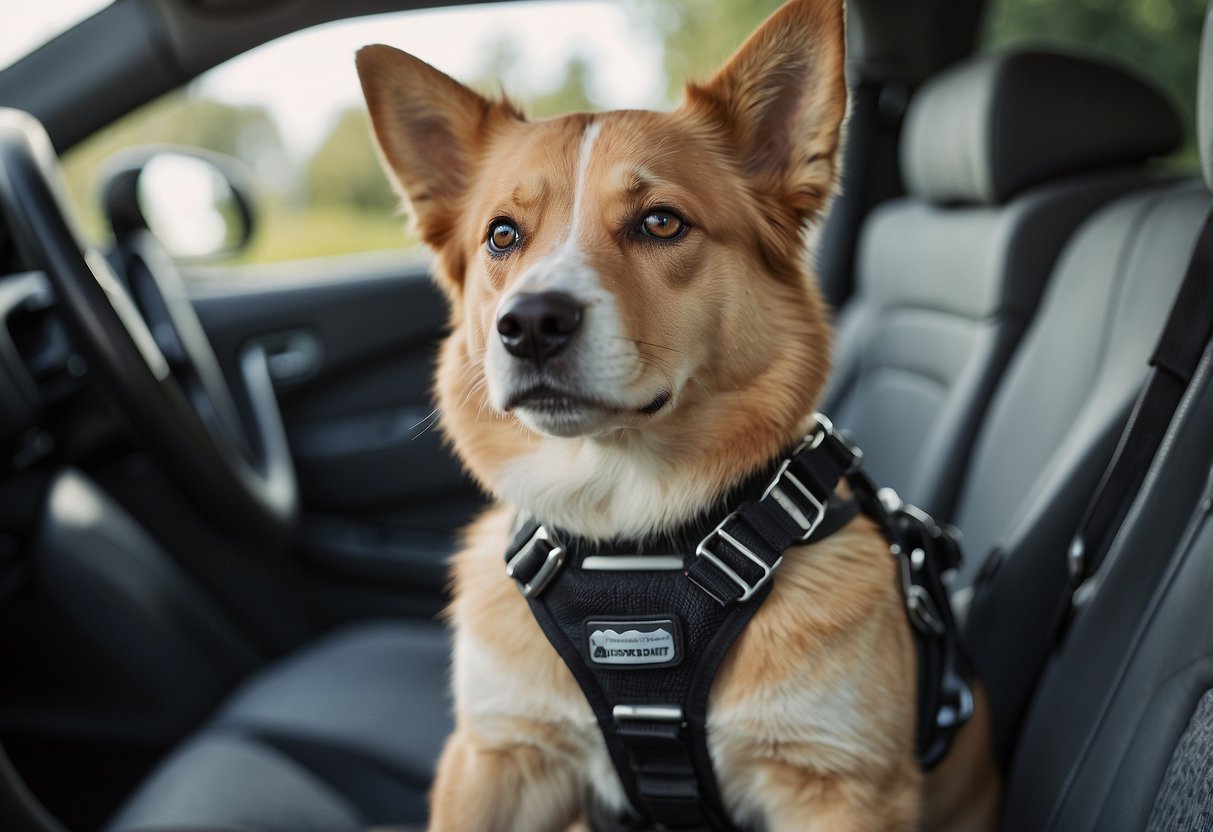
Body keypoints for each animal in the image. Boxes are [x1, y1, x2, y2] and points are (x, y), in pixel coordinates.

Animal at [354, 3, 994, 829]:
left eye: (660, 222)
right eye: (501, 235)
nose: (529, 324)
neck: (630, 538)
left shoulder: (842, 788)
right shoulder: (496, 755)